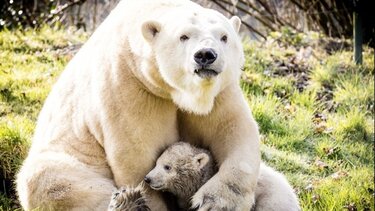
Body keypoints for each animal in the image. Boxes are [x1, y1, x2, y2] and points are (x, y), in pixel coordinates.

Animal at [17, 0, 262, 210]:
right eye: (183, 36)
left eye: (224, 37)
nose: (205, 55)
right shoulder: (131, 87)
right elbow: (135, 154)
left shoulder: (220, 90)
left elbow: (232, 128)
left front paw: (215, 202)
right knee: (49, 179)